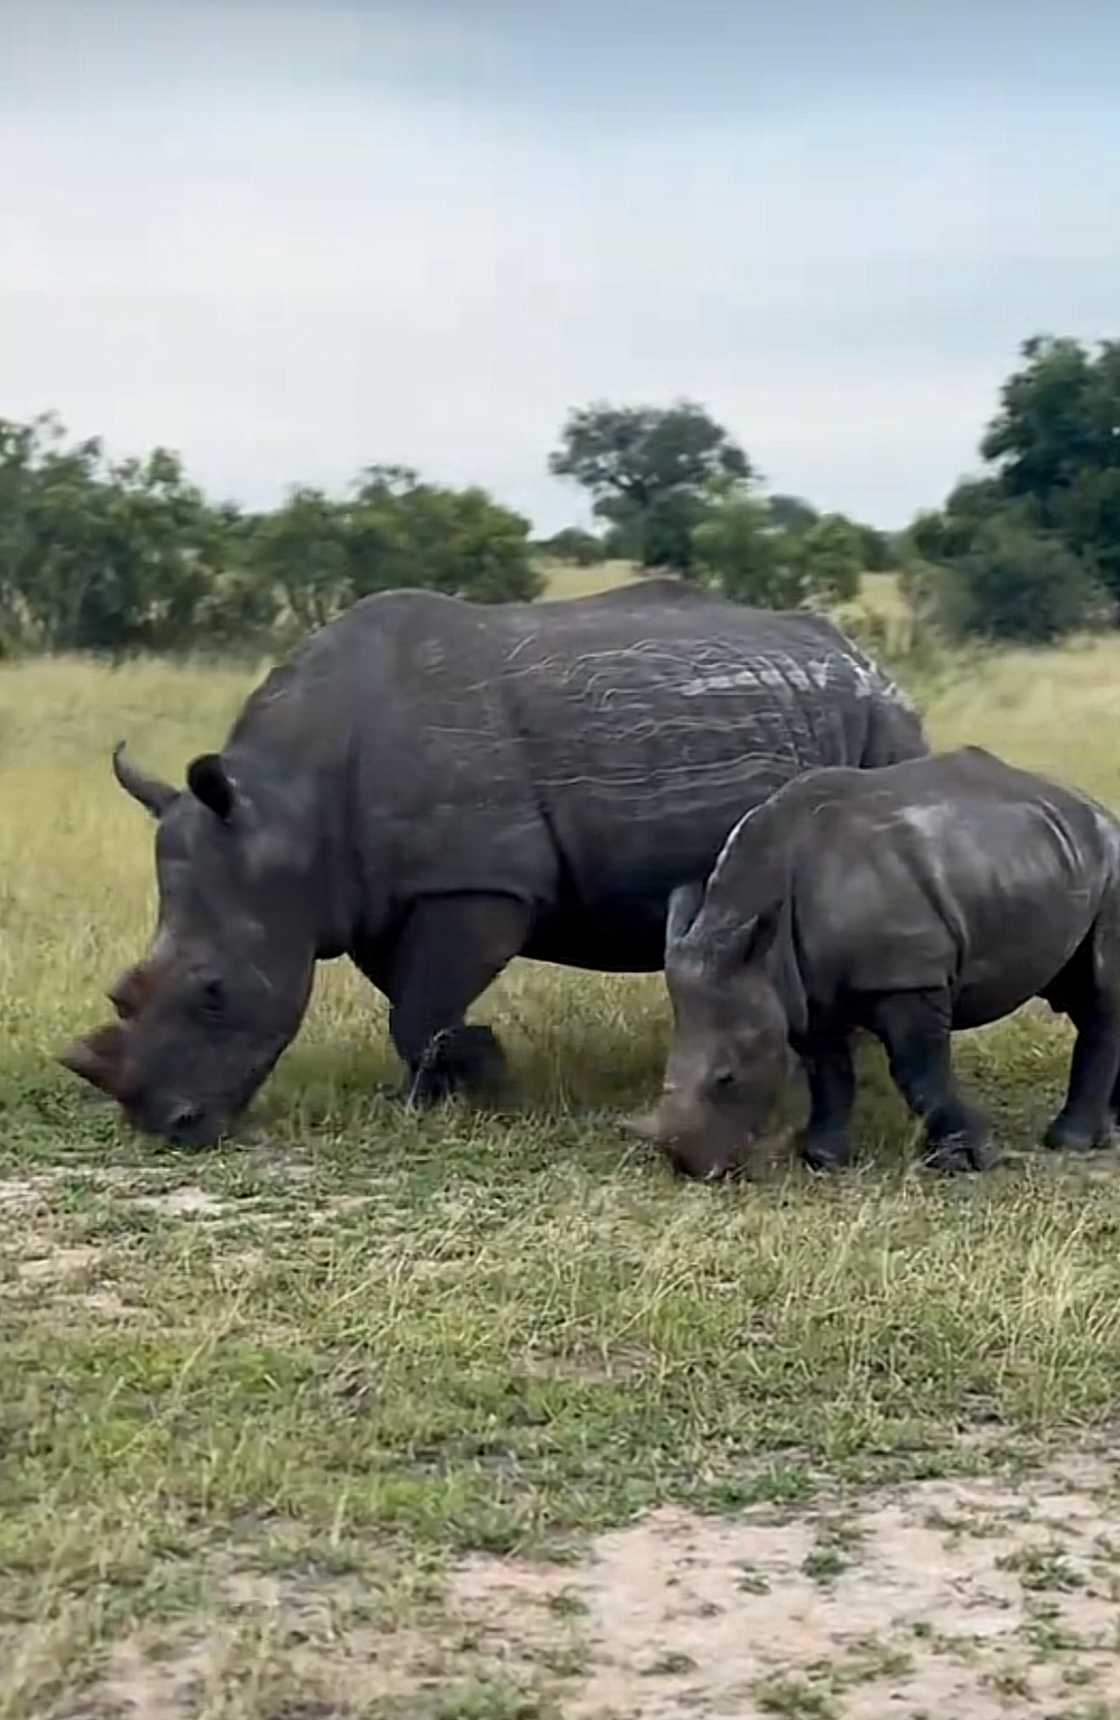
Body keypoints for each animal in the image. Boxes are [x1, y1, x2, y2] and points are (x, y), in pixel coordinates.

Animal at [60, 581, 925, 1146]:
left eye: (214, 993)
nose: (167, 1128)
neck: (286, 811)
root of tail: (863, 656)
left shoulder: (477, 882)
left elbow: (418, 1008)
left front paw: (486, 1079)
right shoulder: (376, 893)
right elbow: (413, 1002)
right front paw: (436, 1088)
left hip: (882, 723)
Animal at [630, 745, 1120, 1180]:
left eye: (727, 1078)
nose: (692, 1168)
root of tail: (1098, 811)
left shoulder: (906, 975)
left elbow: (918, 1071)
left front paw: (969, 1160)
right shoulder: (803, 987)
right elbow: (827, 1071)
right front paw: (824, 1159)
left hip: (1112, 868)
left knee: (1099, 993)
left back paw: (1069, 1141)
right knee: (1076, 990)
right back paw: (1112, 1127)